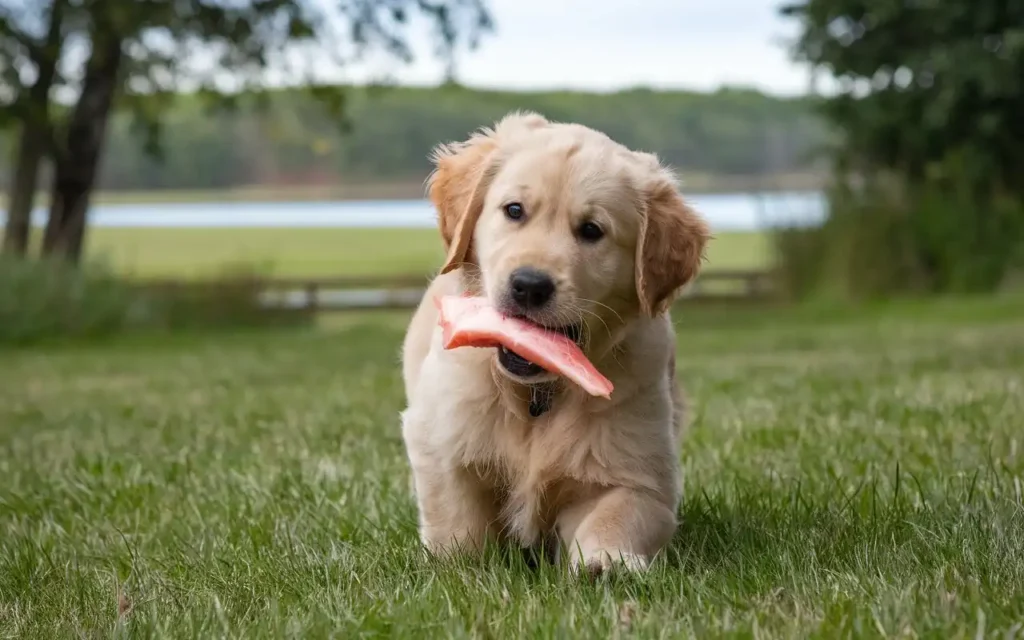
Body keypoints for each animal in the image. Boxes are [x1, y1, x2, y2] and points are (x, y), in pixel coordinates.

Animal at [395, 112, 708, 577]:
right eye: (514, 210)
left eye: (592, 230)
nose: (528, 285)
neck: (536, 393)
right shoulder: (441, 440)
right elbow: (458, 524)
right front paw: (459, 569)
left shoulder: (638, 471)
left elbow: (616, 514)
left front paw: (606, 564)